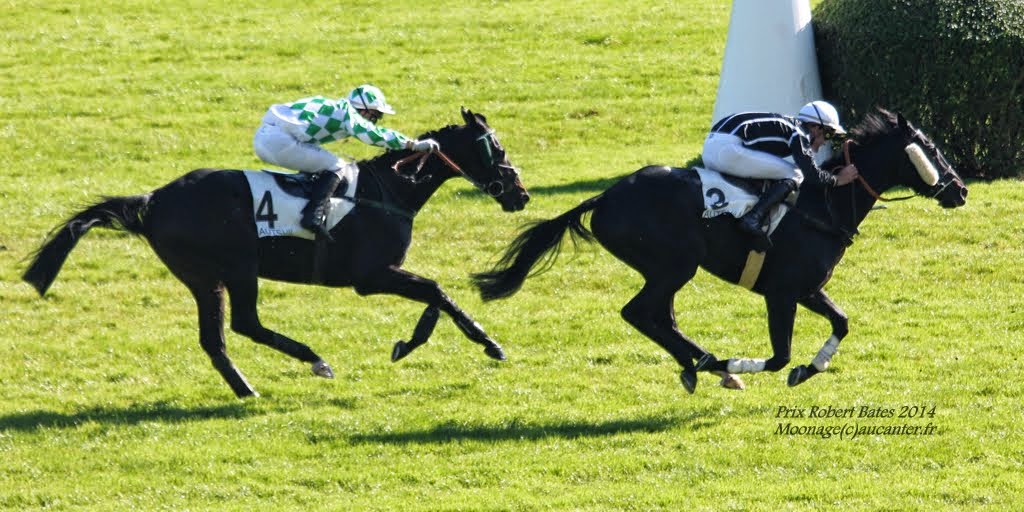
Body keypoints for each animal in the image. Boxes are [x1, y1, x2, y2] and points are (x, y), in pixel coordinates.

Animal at [25, 107, 528, 395]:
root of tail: (151, 201)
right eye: (497, 147)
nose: (520, 194)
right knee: (243, 325)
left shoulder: (382, 273)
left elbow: (433, 297)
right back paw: (313, 361)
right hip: (235, 268)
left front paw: (412, 341)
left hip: (203, 278)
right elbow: (437, 292)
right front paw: (488, 345)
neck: (391, 189)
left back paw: (247, 389)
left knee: (215, 339)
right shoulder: (372, 276)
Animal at [471, 109, 966, 391]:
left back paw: (702, 365)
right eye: (930, 148)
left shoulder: (807, 289)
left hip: (666, 270)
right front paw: (750, 364)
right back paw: (714, 363)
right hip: (674, 265)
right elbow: (781, 356)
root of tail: (606, 196)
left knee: (660, 318)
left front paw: (812, 367)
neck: (825, 204)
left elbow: (841, 322)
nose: (959, 190)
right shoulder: (782, 293)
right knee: (640, 313)